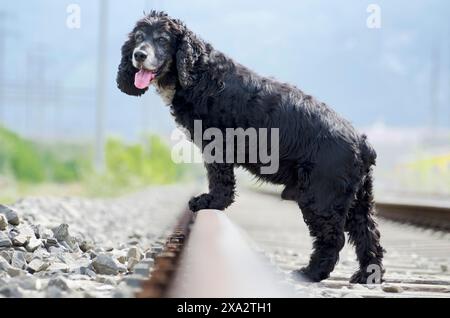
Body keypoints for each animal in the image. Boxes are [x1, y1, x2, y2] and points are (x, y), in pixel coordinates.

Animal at [116, 10, 384, 284]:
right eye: (139, 37)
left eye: (162, 39)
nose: (139, 54)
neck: (199, 73)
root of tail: (362, 142)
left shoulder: (218, 145)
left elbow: (220, 181)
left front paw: (210, 201)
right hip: (357, 199)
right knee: (368, 234)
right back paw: (366, 274)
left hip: (321, 196)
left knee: (333, 238)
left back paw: (311, 272)